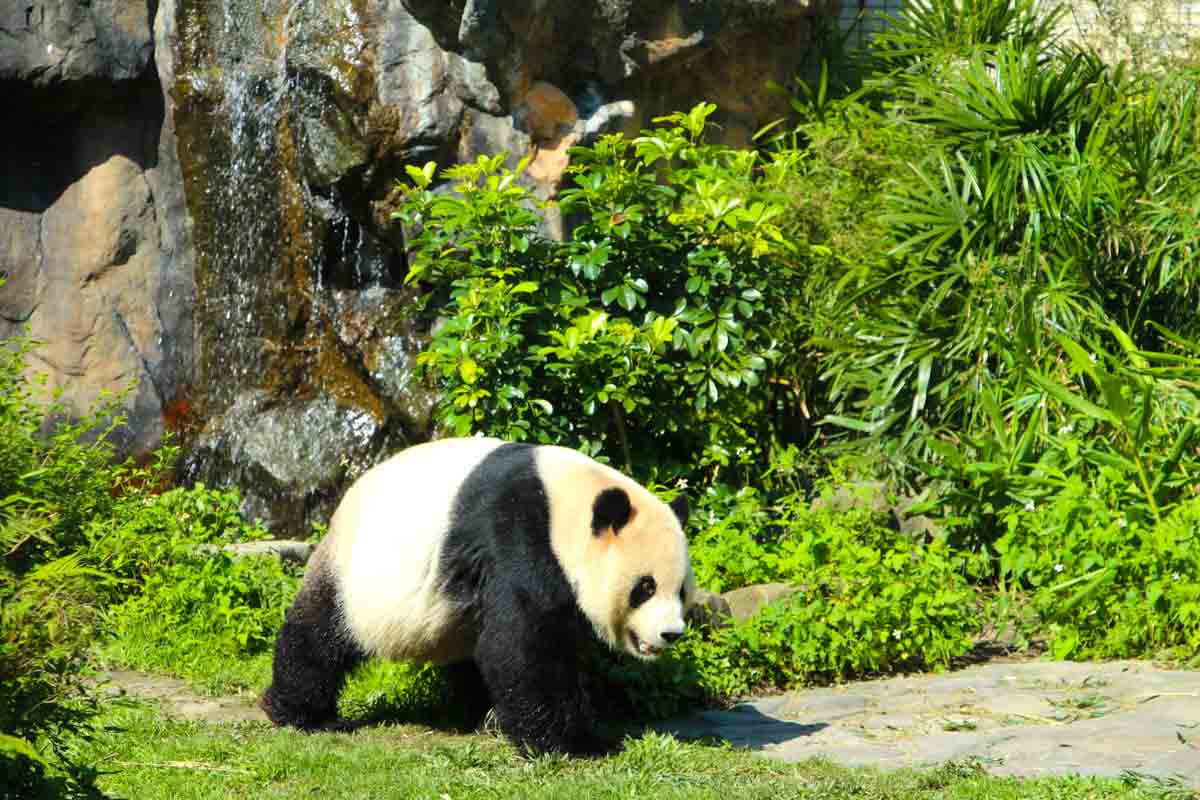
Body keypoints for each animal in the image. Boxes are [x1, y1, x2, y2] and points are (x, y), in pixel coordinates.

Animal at [260, 438, 696, 758]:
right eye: (645, 587)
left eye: (680, 590)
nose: (670, 634)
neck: (565, 502)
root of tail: (344, 503)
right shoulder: (517, 534)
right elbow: (524, 643)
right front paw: (575, 742)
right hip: (358, 577)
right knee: (321, 633)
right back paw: (304, 713)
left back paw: (476, 713)